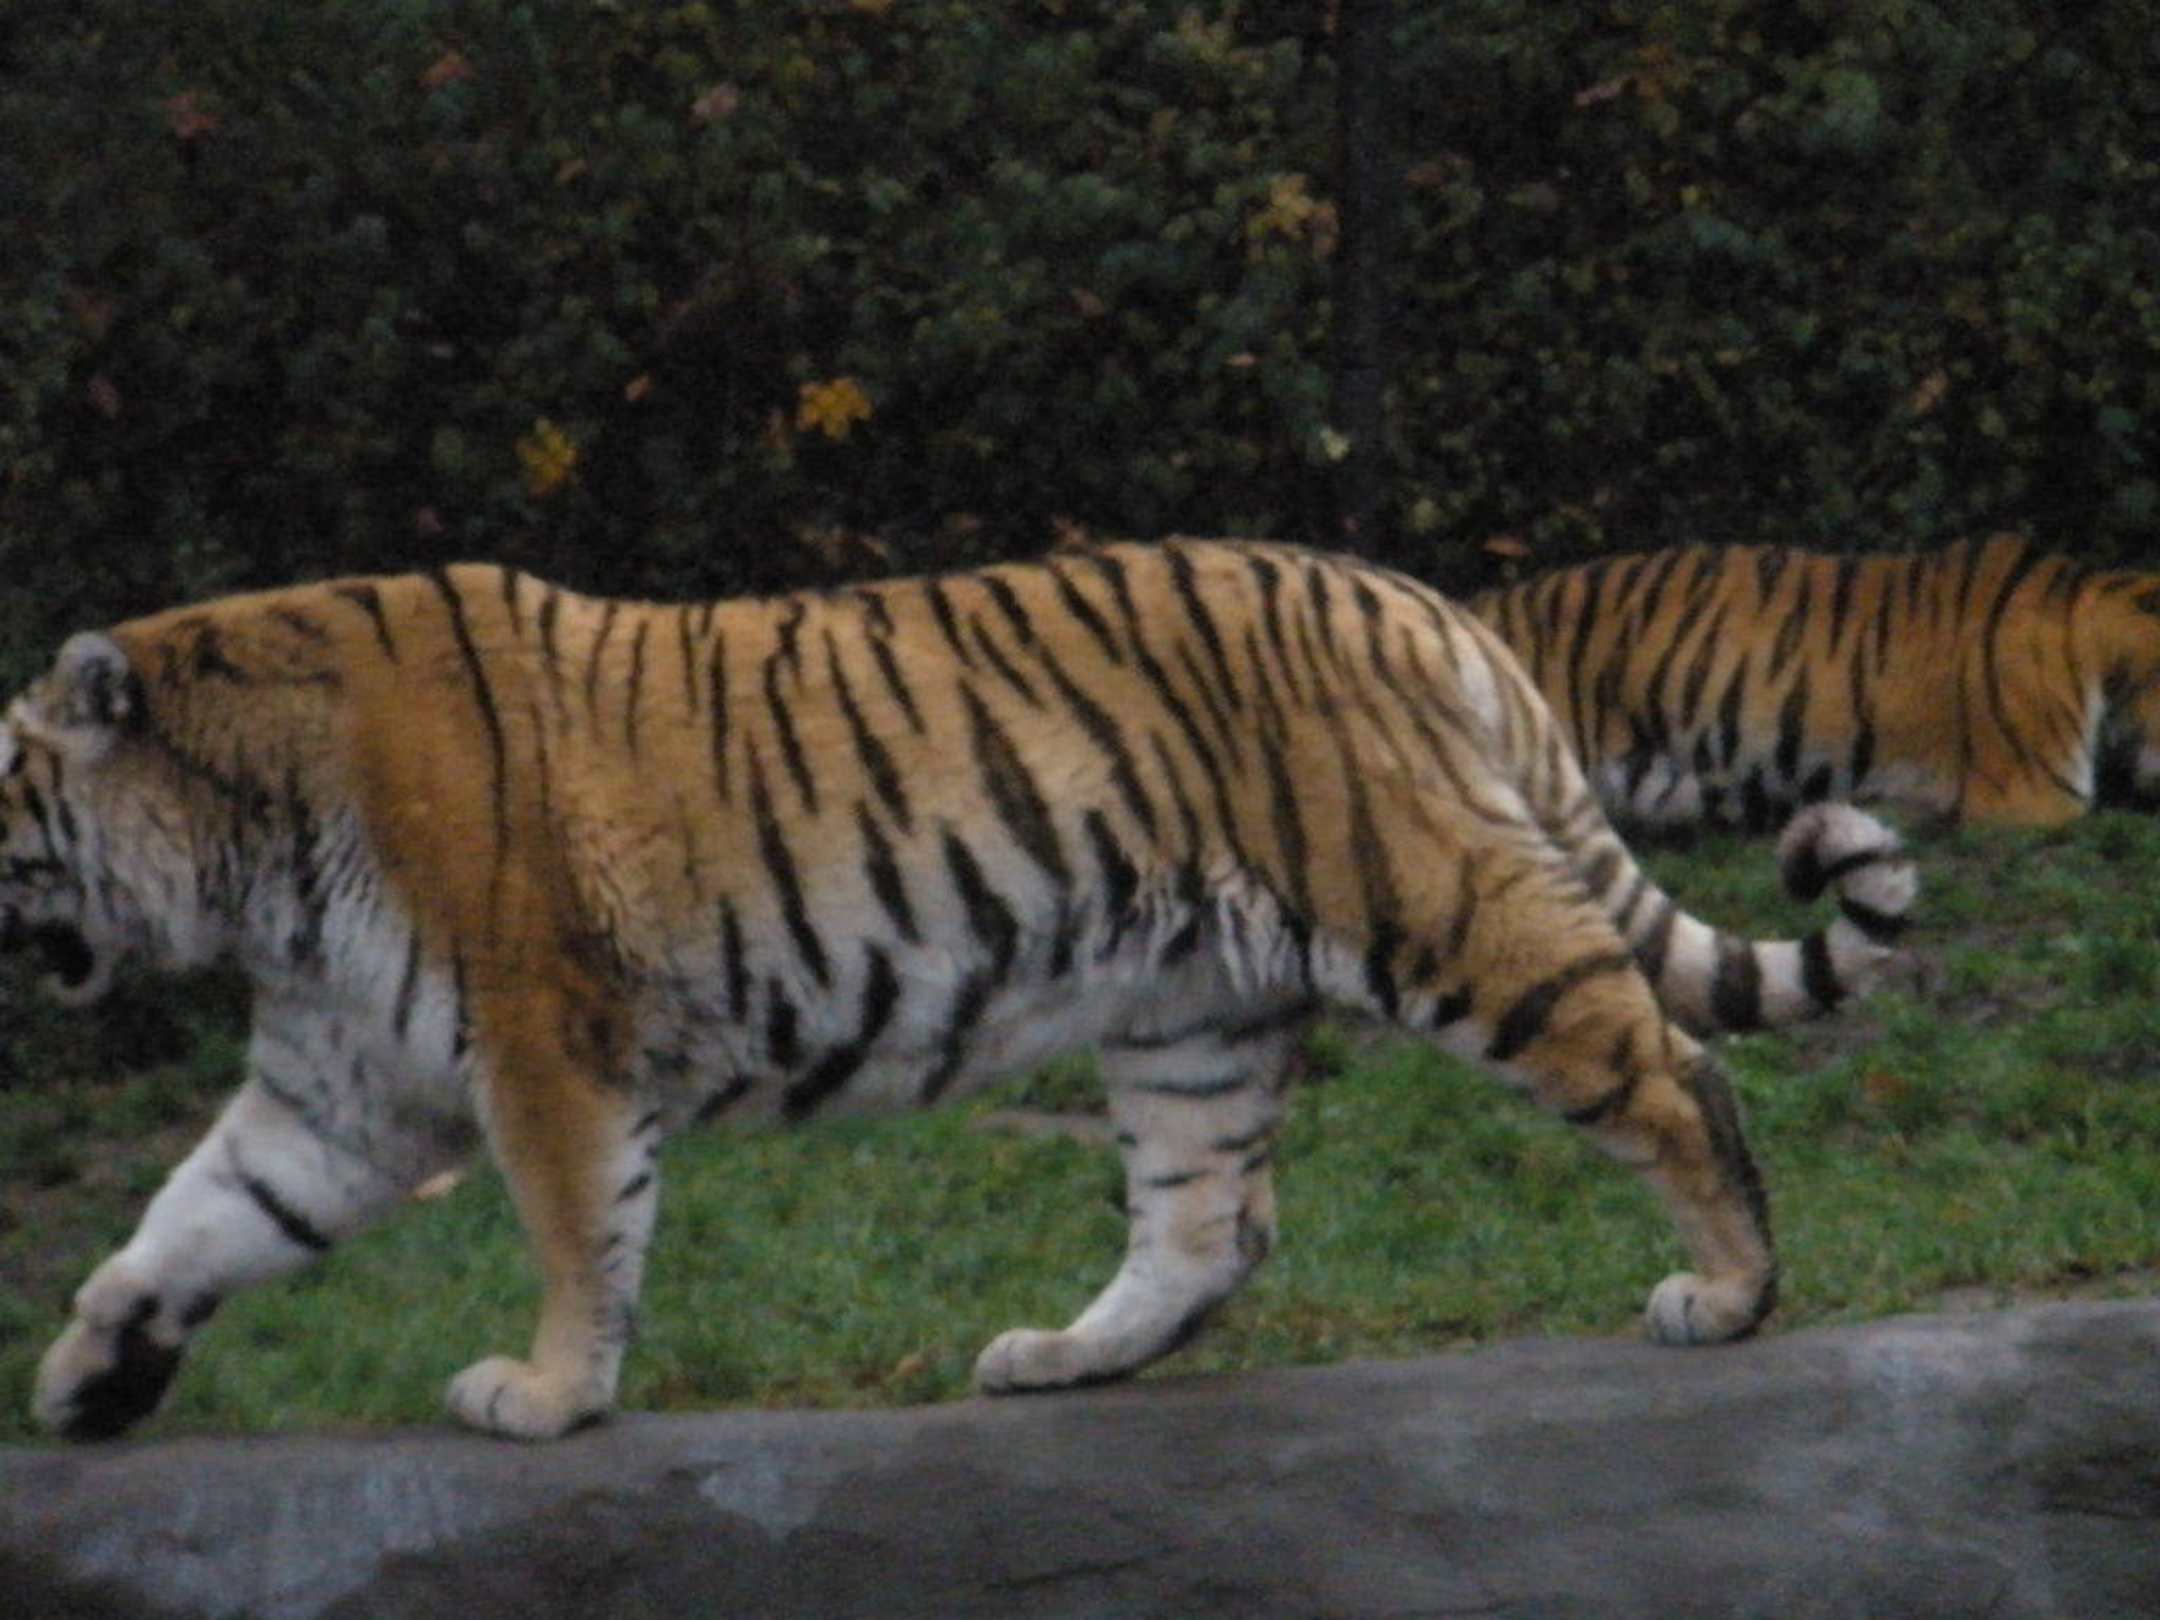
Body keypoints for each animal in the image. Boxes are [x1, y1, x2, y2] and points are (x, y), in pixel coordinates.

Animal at [9, 538, 1916, 1444]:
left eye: (3, 789)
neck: (244, 857)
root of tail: (1417, 600)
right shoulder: (336, 1089)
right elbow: (193, 1223)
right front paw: (88, 1376)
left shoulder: (546, 1047)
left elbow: (576, 1237)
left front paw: (547, 1397)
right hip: (1186, 1011)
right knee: (1211, 1224)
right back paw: (1061, 1358)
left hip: (1438, 909)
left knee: (1668, 1068)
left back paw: (1730, 1293)